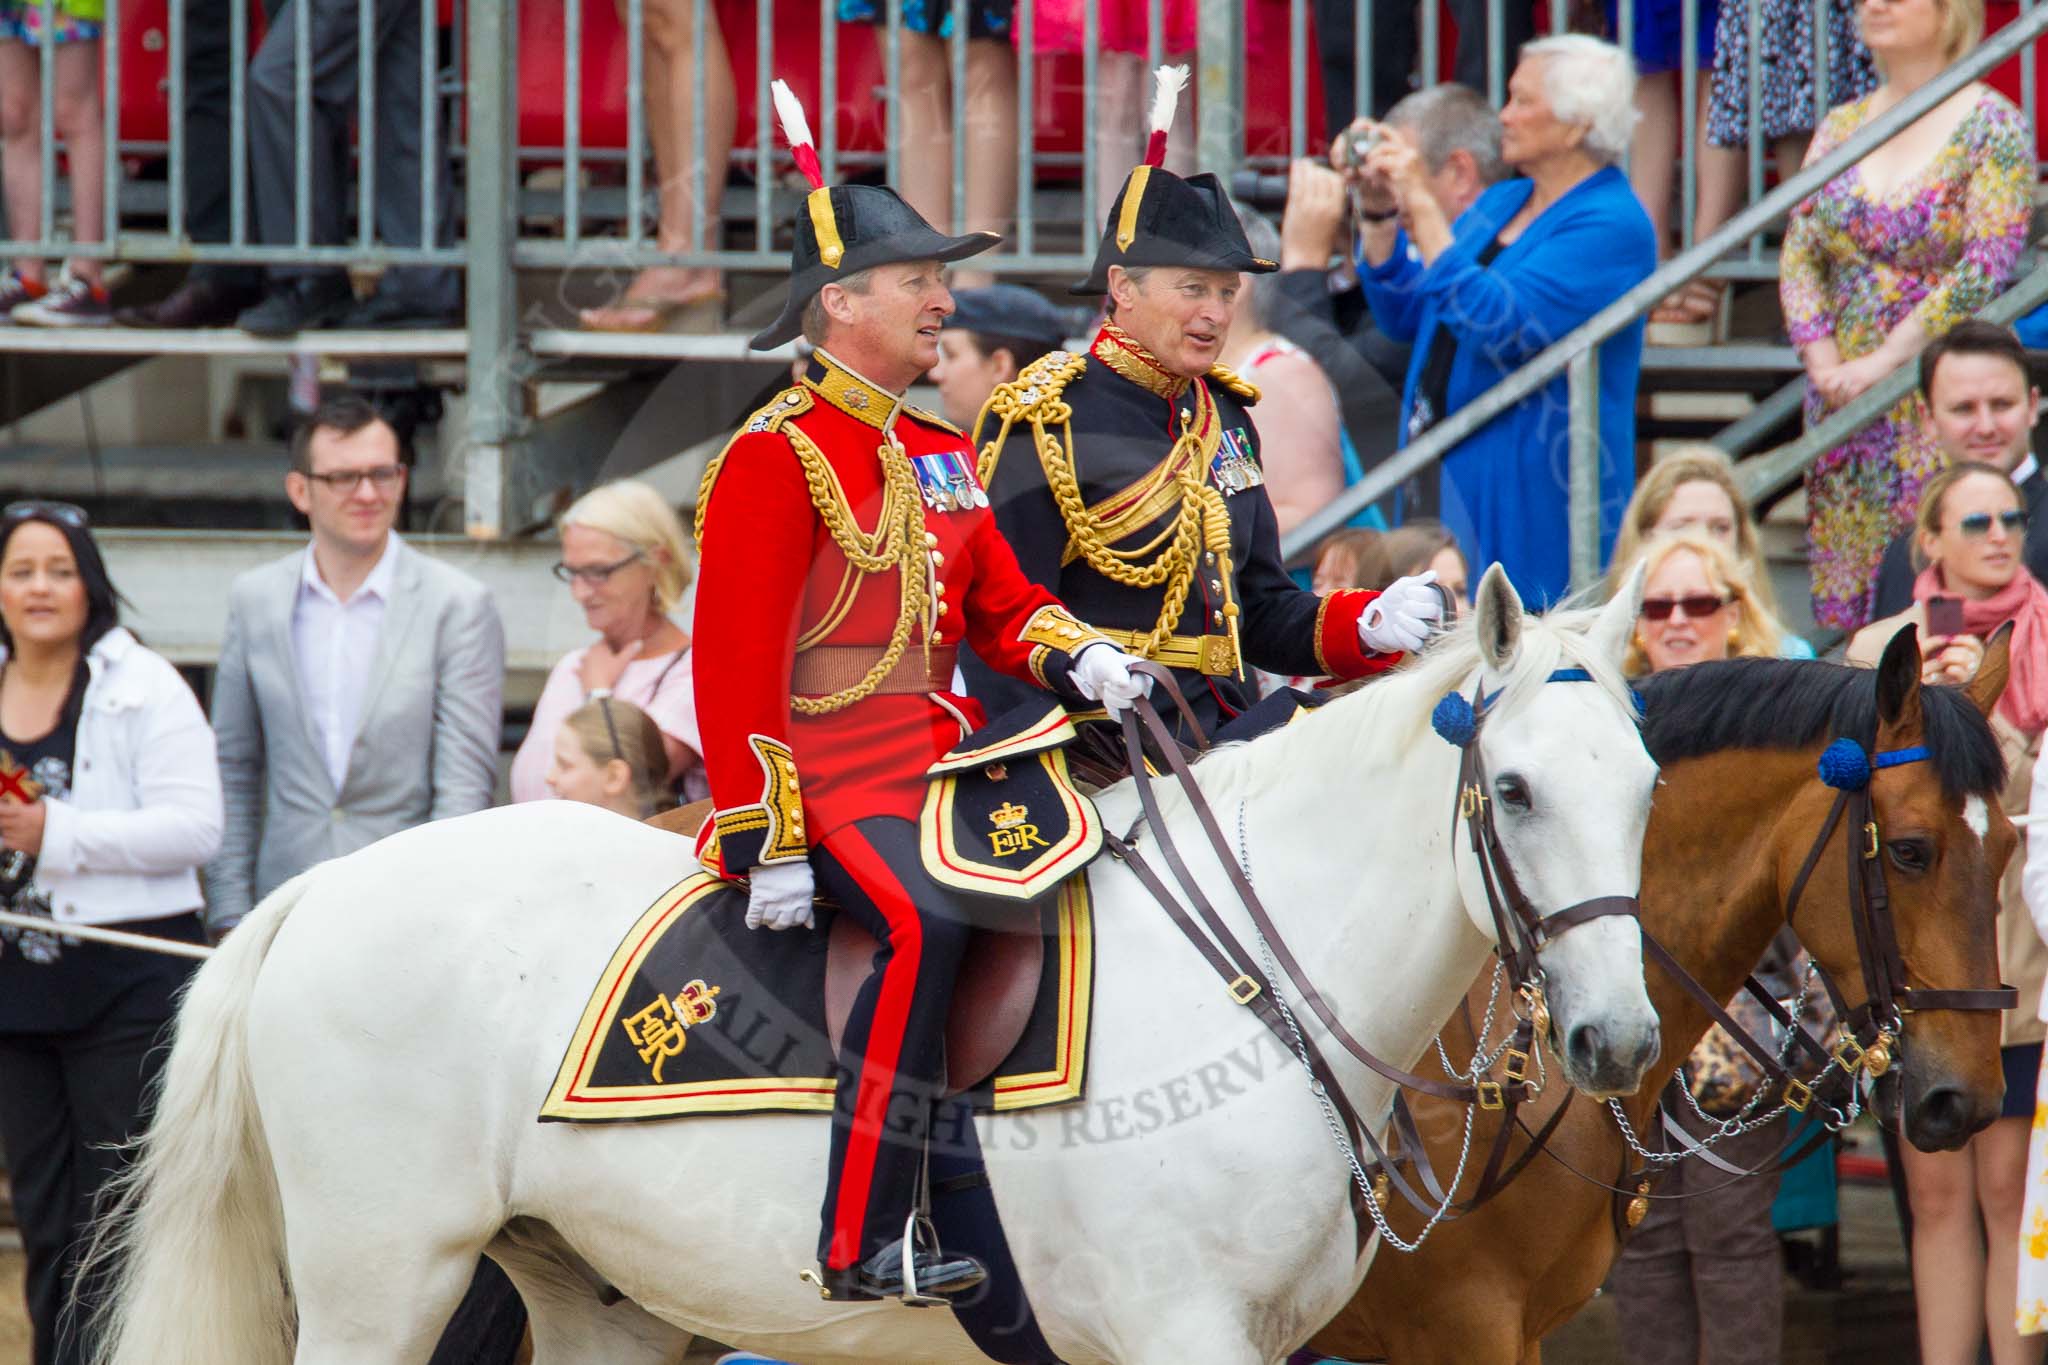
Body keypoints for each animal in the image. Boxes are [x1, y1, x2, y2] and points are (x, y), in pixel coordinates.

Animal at [92, 560, 1662, 1358]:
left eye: (1646, 781)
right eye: (1513, 788)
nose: (1621, 1043)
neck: (1250, 979)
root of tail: (316, 892)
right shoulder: (1180, 1334)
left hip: (596, 1299)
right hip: (378, 1284)